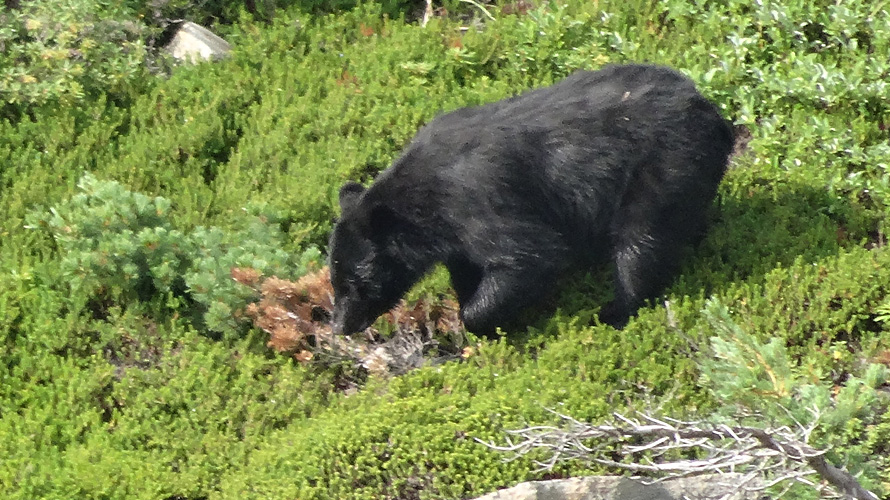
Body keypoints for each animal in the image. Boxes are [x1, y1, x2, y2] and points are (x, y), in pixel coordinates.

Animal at [326, 63, 728, 336]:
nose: (340, 326)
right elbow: (468, 265)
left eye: (356, 282)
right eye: (335, 279)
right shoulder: (455, 236)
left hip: (664, 163)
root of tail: (710, 108)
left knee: (641, 239)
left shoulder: (477, 199)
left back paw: (615, 309)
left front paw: (482, 319)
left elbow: (531, 255)